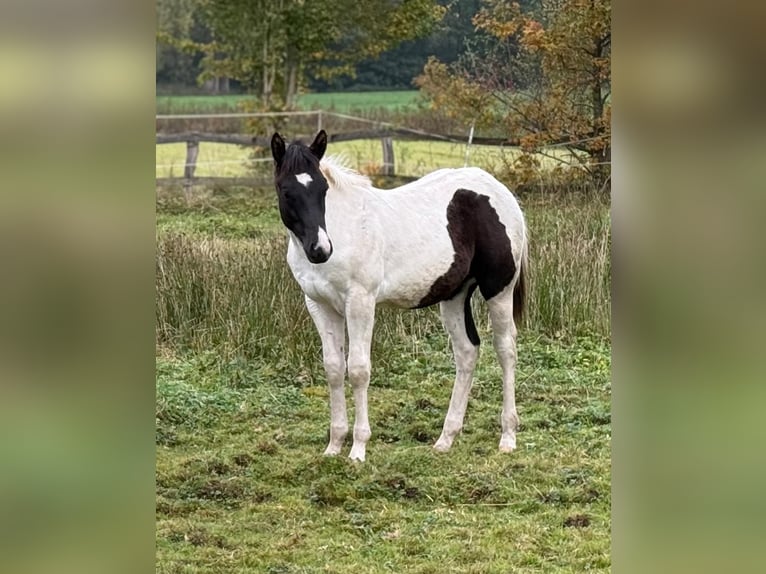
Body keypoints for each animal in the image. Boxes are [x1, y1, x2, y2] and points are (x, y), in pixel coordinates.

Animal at [270, 130, 528, 462]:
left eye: (323, 189)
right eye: (286, 191)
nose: (320, 250)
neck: (345, 229)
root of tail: (501, 192)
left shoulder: (361, 302)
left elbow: (358, 370)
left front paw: (358, 450)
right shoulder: (319, 305)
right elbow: (334, 369)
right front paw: (334, 445)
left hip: (499, 289)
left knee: (506, 349)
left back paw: (508, 437)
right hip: (454, 296)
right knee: (467, 352)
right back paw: (446, 438)